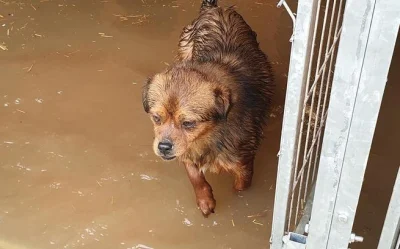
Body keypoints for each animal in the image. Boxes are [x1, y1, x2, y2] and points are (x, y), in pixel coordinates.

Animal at [141, 0, 276, 216]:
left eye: (188, 123)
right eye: (156, 118)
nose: (163, 147)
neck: (207, 136)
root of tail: (213, 8)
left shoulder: (243, 161)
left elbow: (241, 186)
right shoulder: (186, 152)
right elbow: (195, 176)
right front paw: (205, 200)